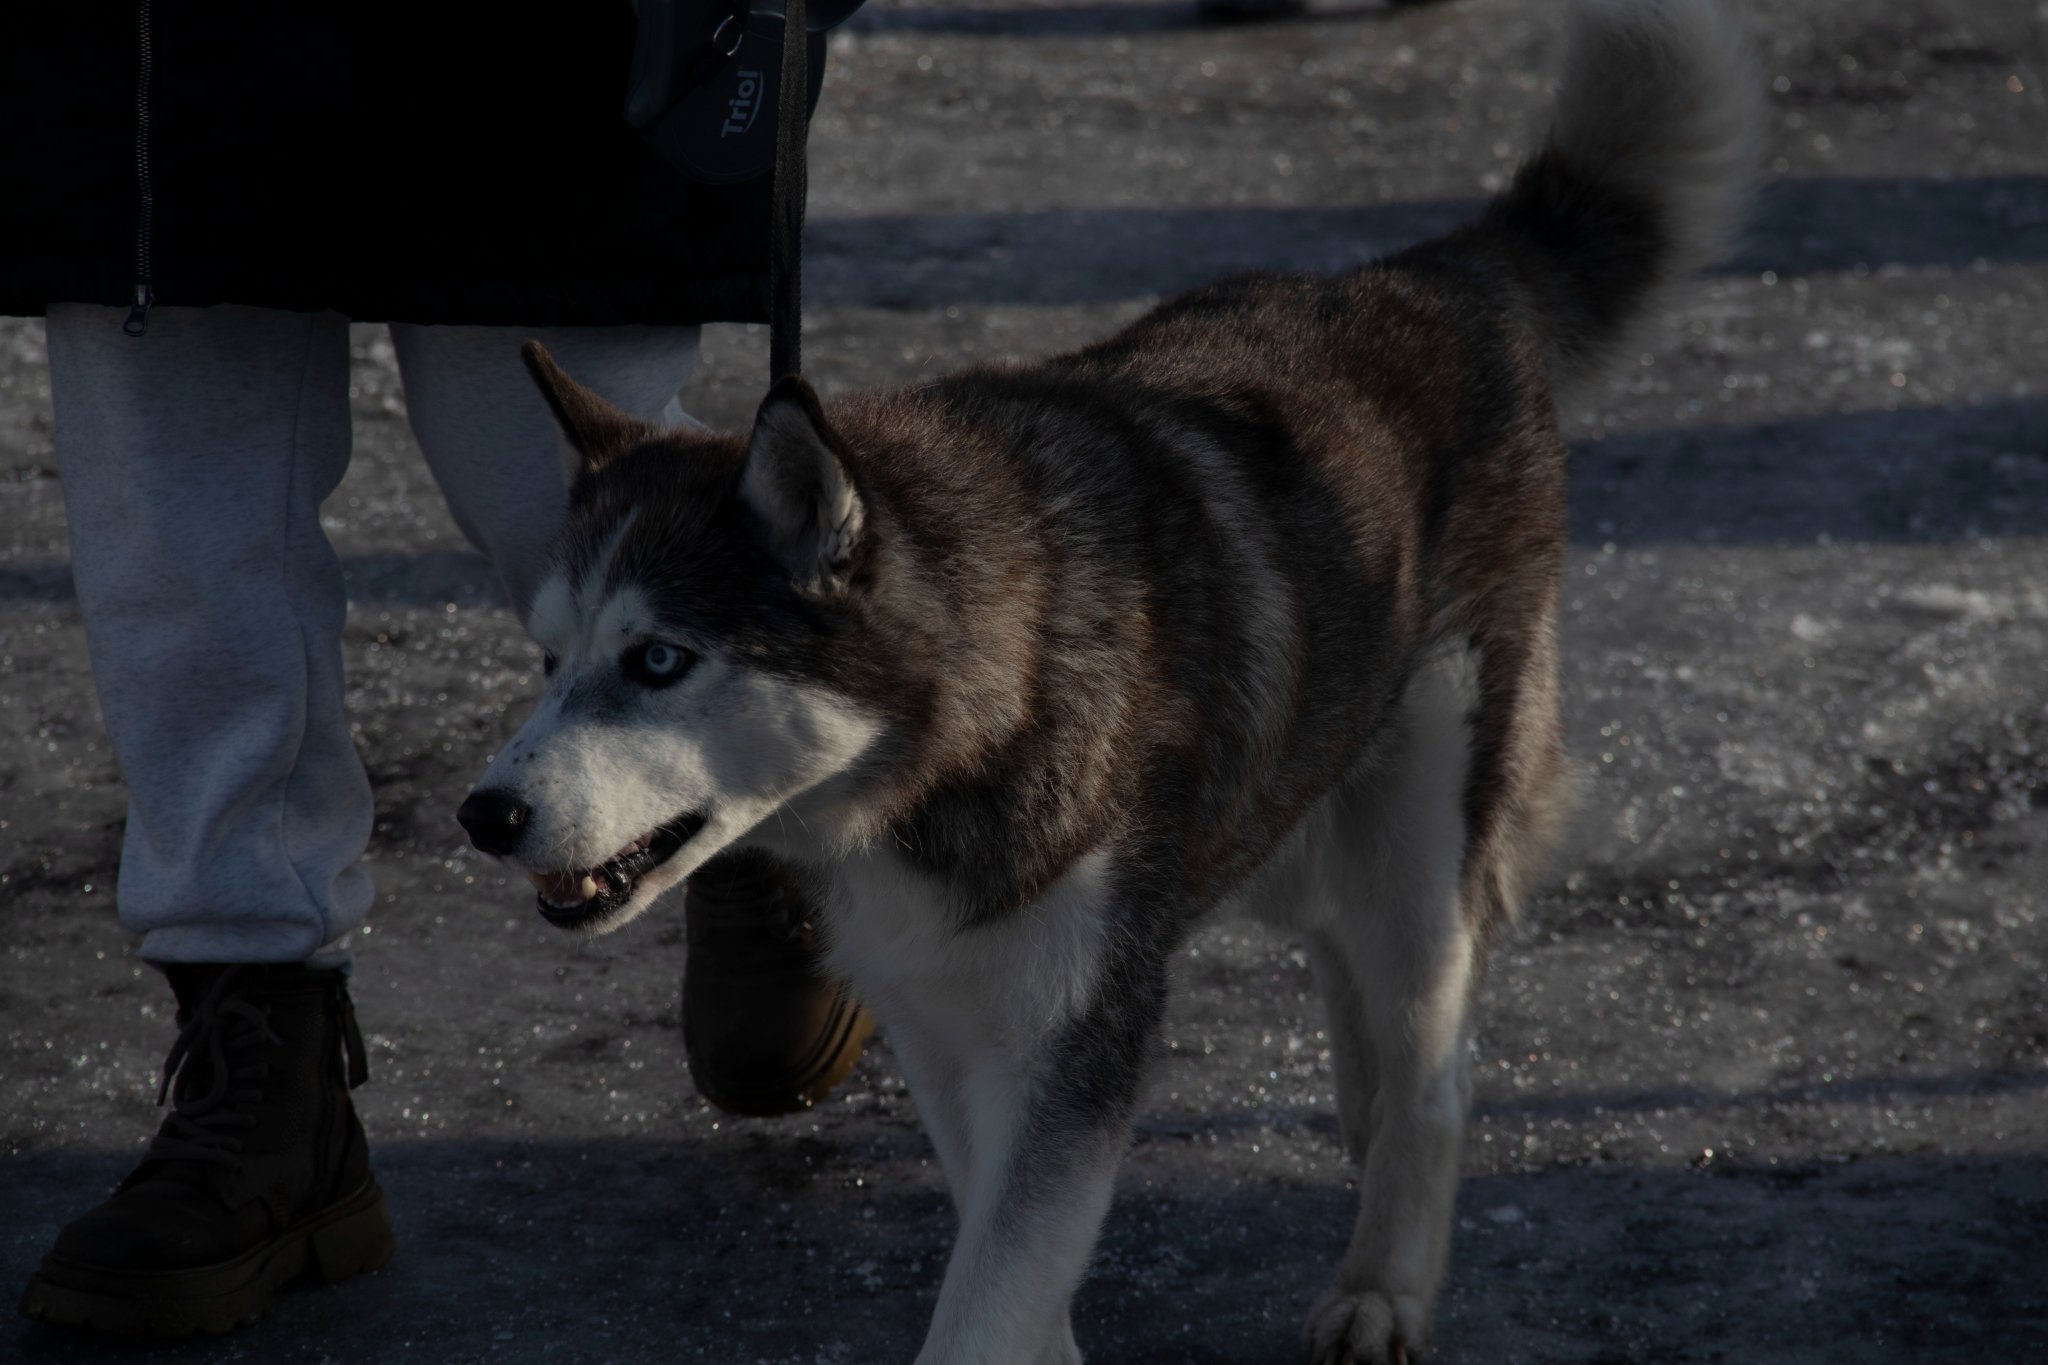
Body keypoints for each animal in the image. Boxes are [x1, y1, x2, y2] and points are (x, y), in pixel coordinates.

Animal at [457, 2, 1758, 1358]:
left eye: (658, 659)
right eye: (549, 657)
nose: (484, 814)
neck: (951, 748)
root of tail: (1423, 282)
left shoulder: (1077, 1035)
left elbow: (995, 1287)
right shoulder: (937, 1013)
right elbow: (1006, 1258)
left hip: (1417, 817)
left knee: (1433, 1057)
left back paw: (1384, 1275)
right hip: (1292, 789)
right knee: (1344, 952)